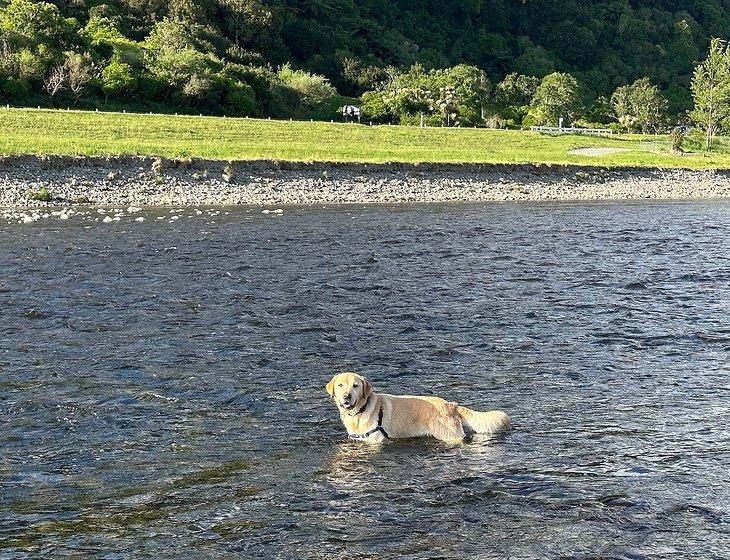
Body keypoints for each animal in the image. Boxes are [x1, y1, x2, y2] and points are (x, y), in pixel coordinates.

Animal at [328, 372, 510, 442]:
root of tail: (451, 405)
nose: (346, 396)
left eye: (355, 386)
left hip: (449, 436)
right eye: (340, 385)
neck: (360, 411)